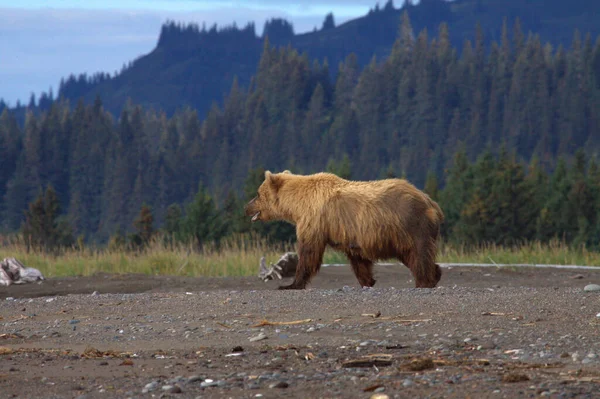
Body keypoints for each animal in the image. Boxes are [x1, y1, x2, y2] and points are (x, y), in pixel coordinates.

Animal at [245, 170, 446, 290]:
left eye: (257, 194)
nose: (246, 208)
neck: (297, 205)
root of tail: (431, 202)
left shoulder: (314, 220)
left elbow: (309, 252)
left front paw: (291, 284)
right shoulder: (350, 233)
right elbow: (358, 259)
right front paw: (367, 281)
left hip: (411, 225)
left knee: (418, 254)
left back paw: (424, 281)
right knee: (414, 256)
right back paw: (436, 274)